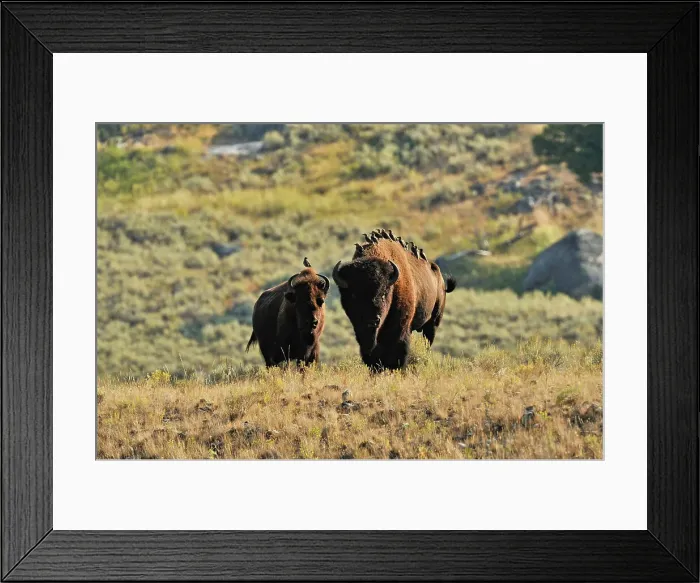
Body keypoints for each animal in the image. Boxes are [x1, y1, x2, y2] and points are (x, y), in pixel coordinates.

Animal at [332, 230, 456, 370]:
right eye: (353, 295)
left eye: (383, 294)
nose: (372, 321)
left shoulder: (401, 327)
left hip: (433, 322)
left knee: (427, 341)